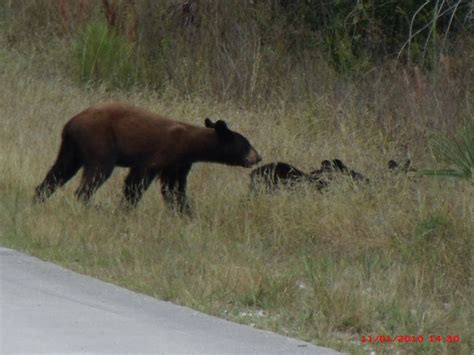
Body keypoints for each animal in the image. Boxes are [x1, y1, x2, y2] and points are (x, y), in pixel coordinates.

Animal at [34, 102, 262, 214]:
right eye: (247, 144)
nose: (258, 157)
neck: (191, 143)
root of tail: (72, 122)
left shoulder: (178, 164)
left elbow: (174, 188)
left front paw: (185, 212)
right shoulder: (162, 154)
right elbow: (138, 182)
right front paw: (125, 209)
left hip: (71, 147)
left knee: (60, 170)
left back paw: (38, 196)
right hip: (99, 140)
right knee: (97, 172)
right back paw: (87, 204)